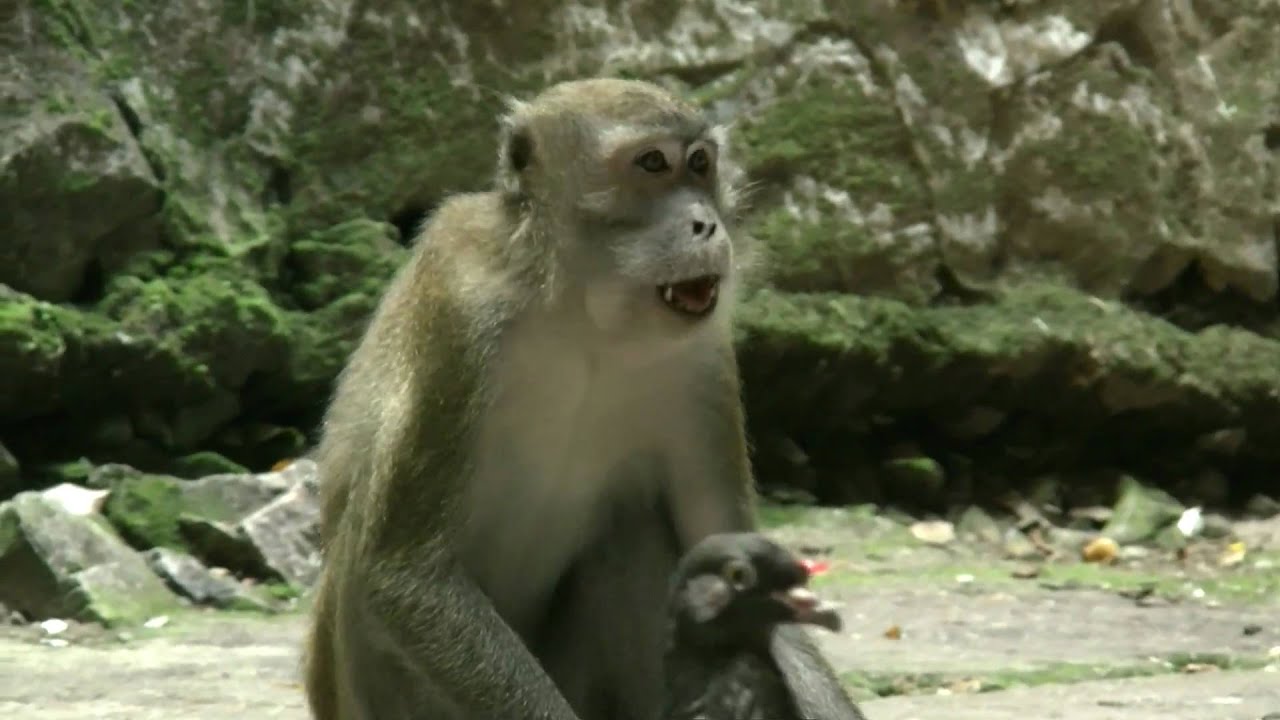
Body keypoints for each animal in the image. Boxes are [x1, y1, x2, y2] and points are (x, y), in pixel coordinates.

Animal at [301, 77, 867, 720]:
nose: (705, 223)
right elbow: (405, 574)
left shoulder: (704, 359)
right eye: (653, 163)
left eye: (700, 164)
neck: (583, 313)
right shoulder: (460, 310)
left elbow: (726, 547)